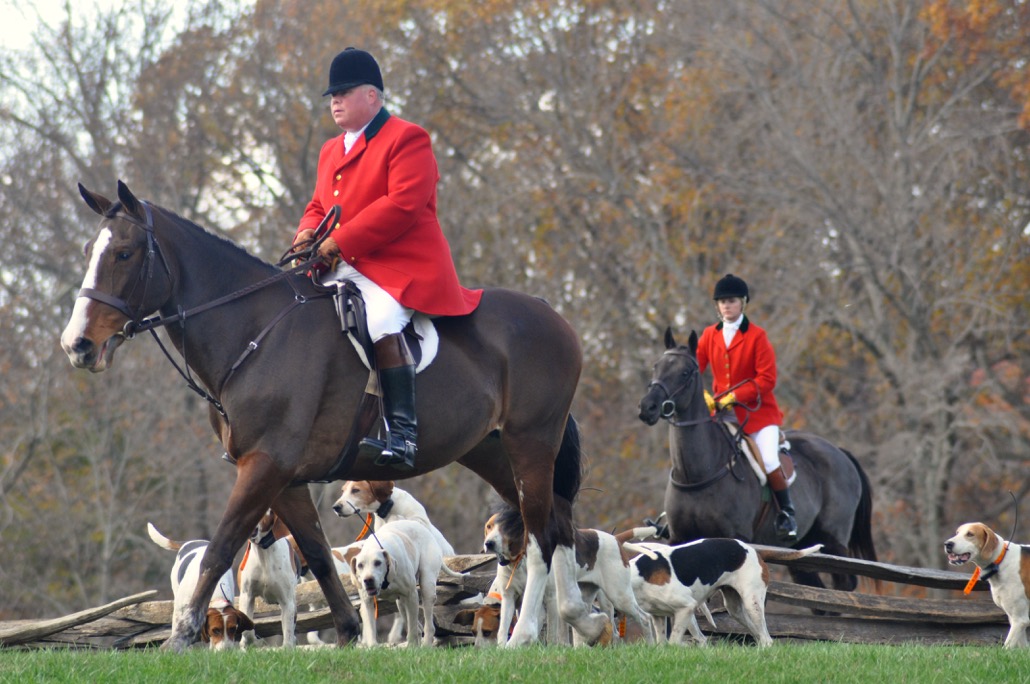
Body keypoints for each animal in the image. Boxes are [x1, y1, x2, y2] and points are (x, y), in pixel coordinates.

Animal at [60, 183, 605, 651]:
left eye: (124, 253)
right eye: (89, 250)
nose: (77, 345)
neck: (257, 332)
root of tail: (551, 314)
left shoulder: (264, 465)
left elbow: (219, 547)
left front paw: (180, 638)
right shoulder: (286, 477)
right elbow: (319, 554)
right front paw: (347, 633)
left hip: (530, 443)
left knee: (540, 538)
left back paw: (528, 634)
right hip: (492, 452)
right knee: (560, 529)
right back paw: (580, 624)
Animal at [638, 329, 873, 589]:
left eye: (685, 372)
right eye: (656, 366)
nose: (648, 407)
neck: (697, 475)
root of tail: (840, 452)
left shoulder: (735, 538)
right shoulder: (680, 539)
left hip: (834, 542)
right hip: (802, 548)